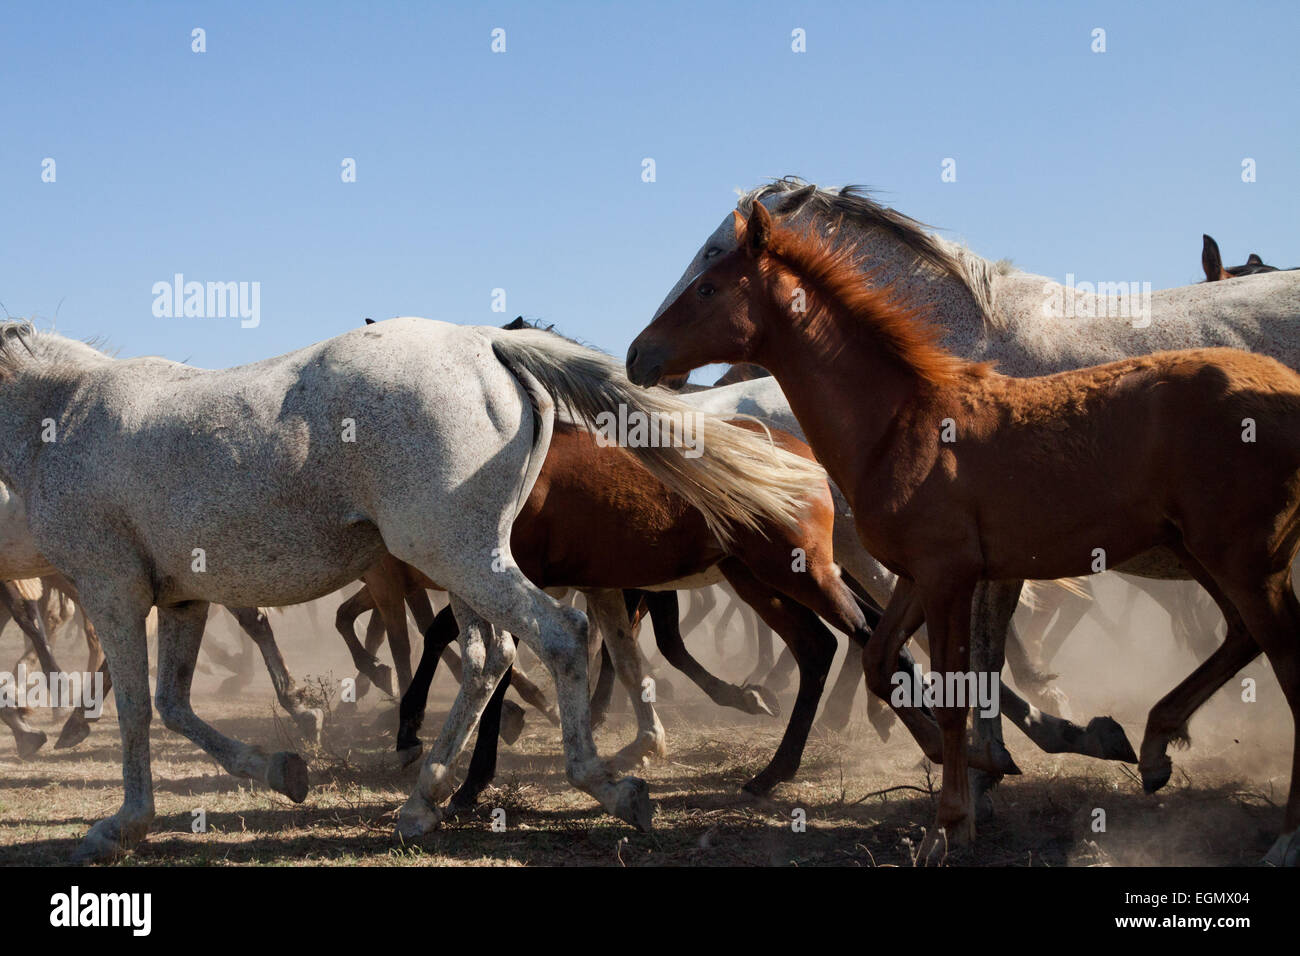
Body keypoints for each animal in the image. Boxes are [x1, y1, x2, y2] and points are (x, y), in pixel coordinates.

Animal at [0, 318, 818, 860]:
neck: (61, 417)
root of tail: (488, 344)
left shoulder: (111, 587)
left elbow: (138, 710)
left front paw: (120, 824)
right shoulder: (180, 596)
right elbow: (174, 704)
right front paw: (285, 769)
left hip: (457, 555)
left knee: (559, 636)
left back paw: (609, 786)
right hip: (468, 559)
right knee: (492, 659)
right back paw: (426, 800)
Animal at [628, 200, 1300, 864]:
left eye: (709, 280)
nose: (638, 355)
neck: (900, 420)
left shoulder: (950, 577)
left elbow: (956, 687)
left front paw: (948, 824)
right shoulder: (918, 575)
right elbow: (884, 660)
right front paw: (985, 771)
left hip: (1241, 561)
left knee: (1286, 664)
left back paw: (1281, 835)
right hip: (1206, 556)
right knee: (1242, 637)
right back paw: (1156, 746)